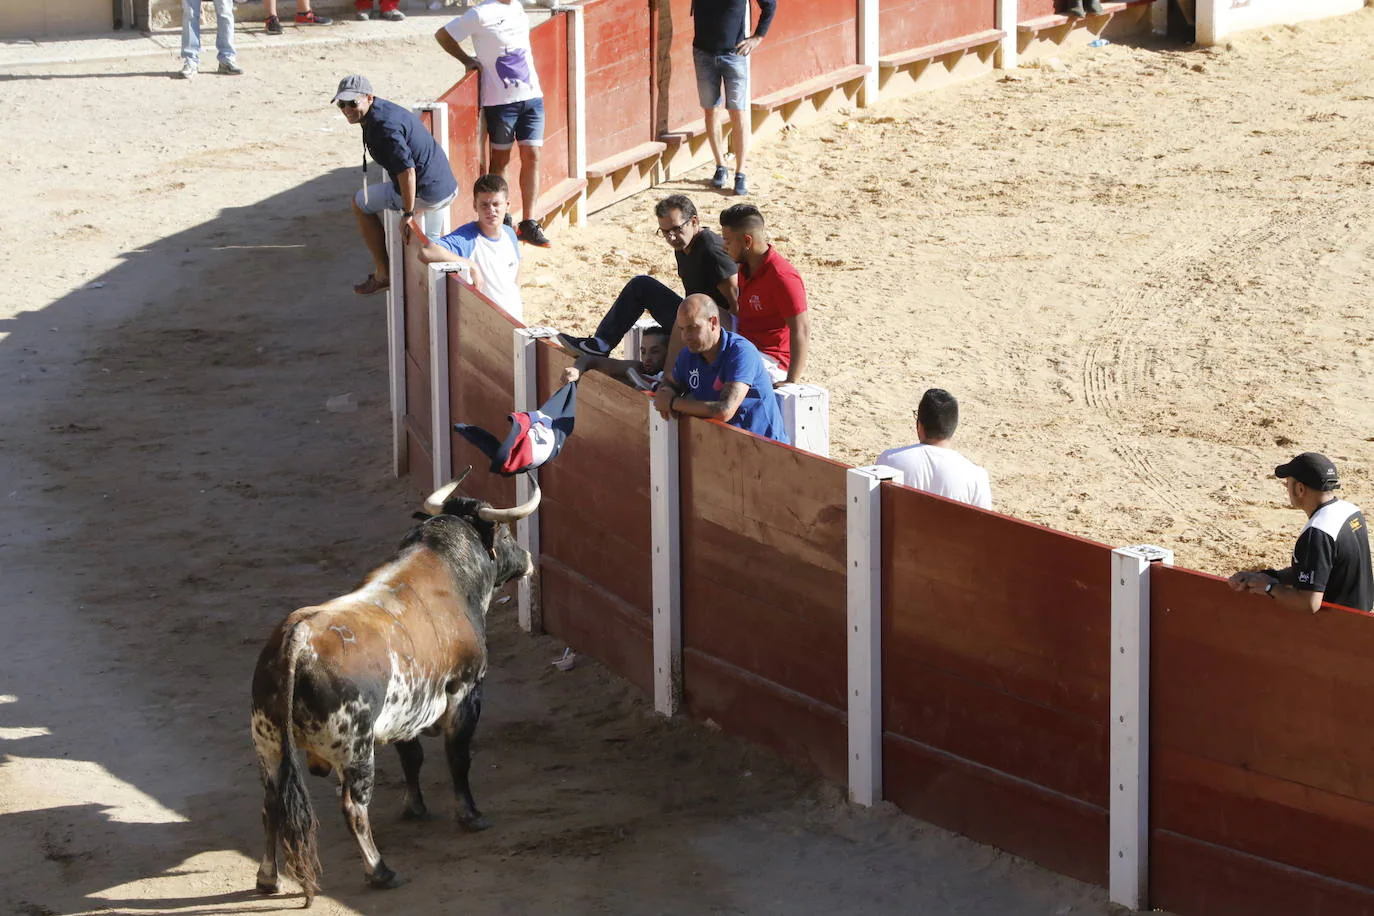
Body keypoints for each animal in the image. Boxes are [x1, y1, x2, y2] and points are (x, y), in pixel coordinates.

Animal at [251, 472, 535, 900]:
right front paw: (470, 815)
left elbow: (411, 757)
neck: (450, 570)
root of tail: (297, 637)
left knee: (271, 803)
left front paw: (415, 807)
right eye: (502, 532)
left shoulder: (407, 710)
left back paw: (268, 877)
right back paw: (380, 870)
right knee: (353, 808)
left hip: (268, 745)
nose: (528, 559)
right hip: (355, 749)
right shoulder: (466, 692)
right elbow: (458, 757)